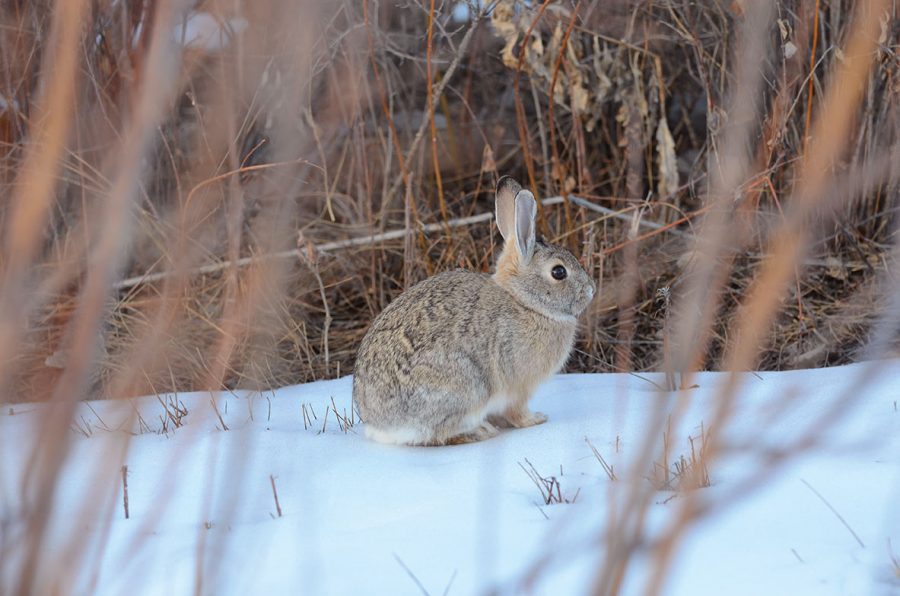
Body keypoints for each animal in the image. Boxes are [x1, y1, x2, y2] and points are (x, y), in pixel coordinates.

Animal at [354, 177, 596, 448]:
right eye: (558, 272)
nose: (591, 290)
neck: (524, 301)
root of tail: (381, 426)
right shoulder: (518, 388)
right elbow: (516, 412)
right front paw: (536, 419)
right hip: (468, 387)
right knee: (440, 433)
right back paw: (481, 431)